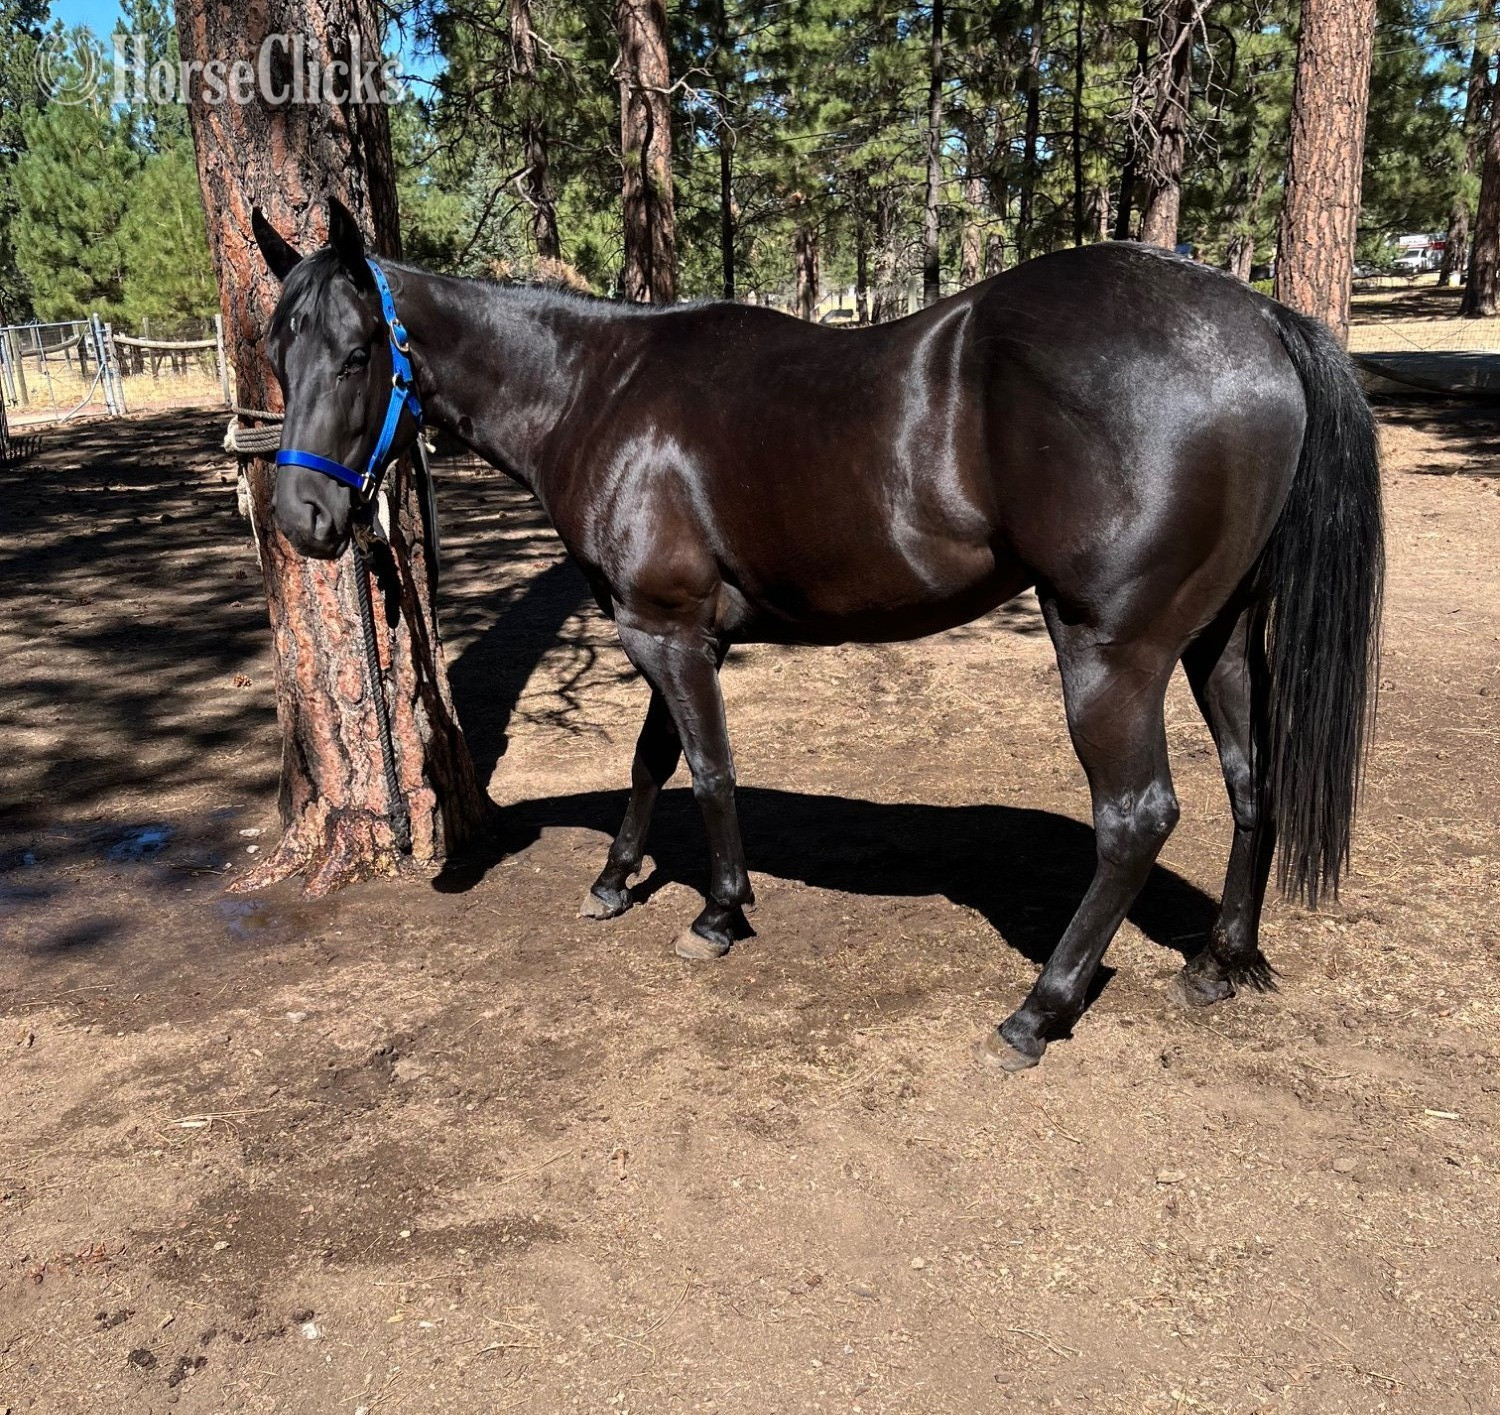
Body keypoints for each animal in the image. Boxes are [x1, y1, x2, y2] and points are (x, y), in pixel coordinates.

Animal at [251, 199, 1382, 1071]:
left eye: (359, 351)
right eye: (276, 352)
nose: (304, 520)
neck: (600, 391)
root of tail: (1258, 320)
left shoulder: (662, 630)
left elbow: (707, 767)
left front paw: (717, 914)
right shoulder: (679, 631)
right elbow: (654, 757)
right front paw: (615, 880)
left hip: (1113, 650)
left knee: (1137, 817)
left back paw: (1036, 1012)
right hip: (1217, 636)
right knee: (1252, 781)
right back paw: (1219, 962)